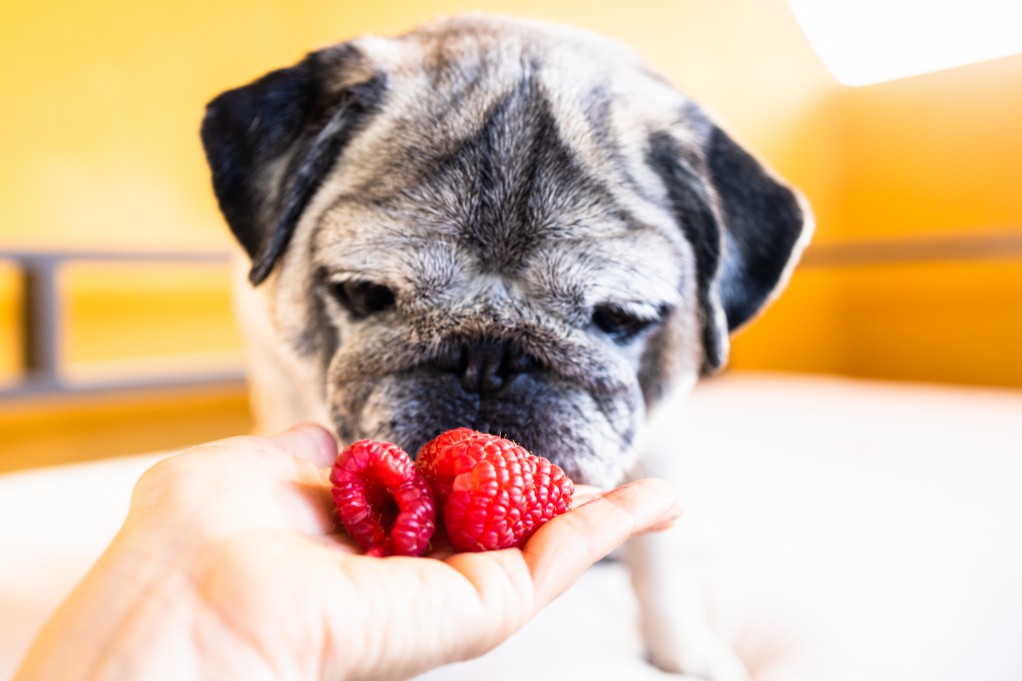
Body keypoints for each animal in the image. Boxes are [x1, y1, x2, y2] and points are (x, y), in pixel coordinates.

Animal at [201, 11, 813, 678]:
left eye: (618, 317)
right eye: (364, 293)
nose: (485, 357)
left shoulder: (662, 431)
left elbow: (661, 563)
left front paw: (683, 650)